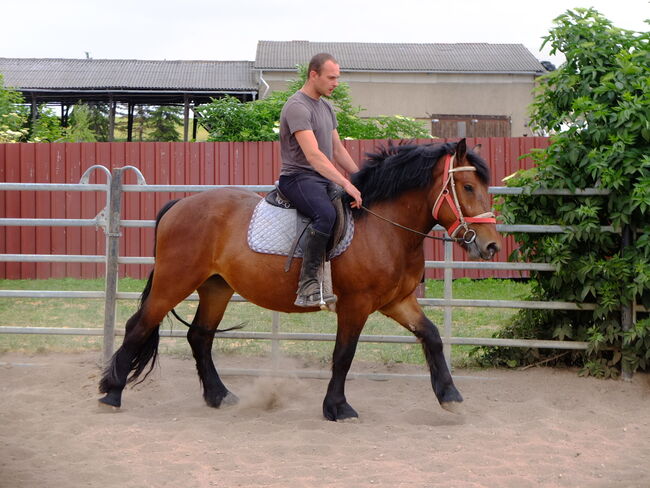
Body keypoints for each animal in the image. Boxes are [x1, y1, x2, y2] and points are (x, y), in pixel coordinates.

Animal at [98, 139, 498, 422]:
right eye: (466, 187)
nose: (491, 245)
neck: (383, 227)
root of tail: (178, 205)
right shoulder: (356, 305)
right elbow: (343, 355)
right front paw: (337, 407)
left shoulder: (397, 301)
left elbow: (431, 336)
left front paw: (450, 397)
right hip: (174, 282)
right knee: (139, 326)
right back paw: (111, 393)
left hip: (216, 288)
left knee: (200, 337)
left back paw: (219, 396)